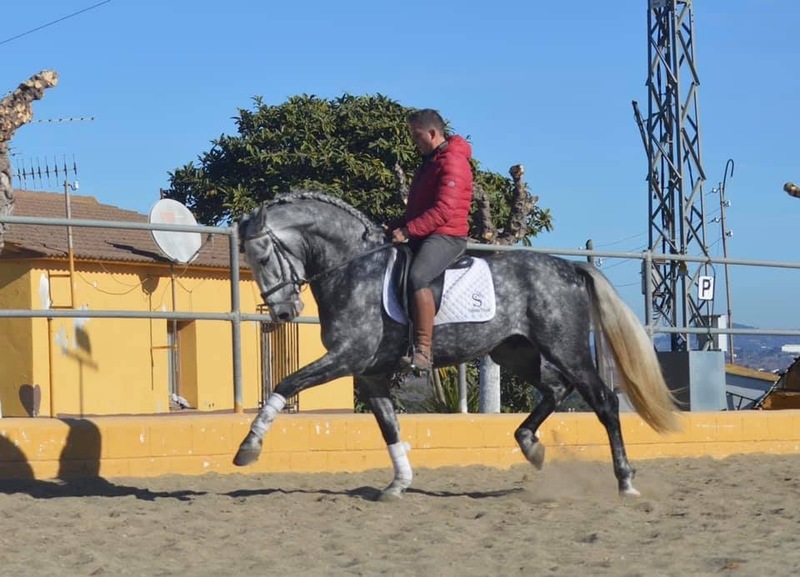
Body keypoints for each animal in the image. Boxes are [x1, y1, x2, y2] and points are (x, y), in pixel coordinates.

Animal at [233, 191, 679, 499]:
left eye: (263, 257)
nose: (284, 312)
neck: (355, 267)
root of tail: (571, 268)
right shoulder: (371, 372)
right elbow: (388, 426)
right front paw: (398, 484)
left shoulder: (347, 357)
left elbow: (286, 383)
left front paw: (248, 448)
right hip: (513, 351)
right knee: (556, 388)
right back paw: (530, 446)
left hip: (565, 346)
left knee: (603, 400)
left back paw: (625, 481)